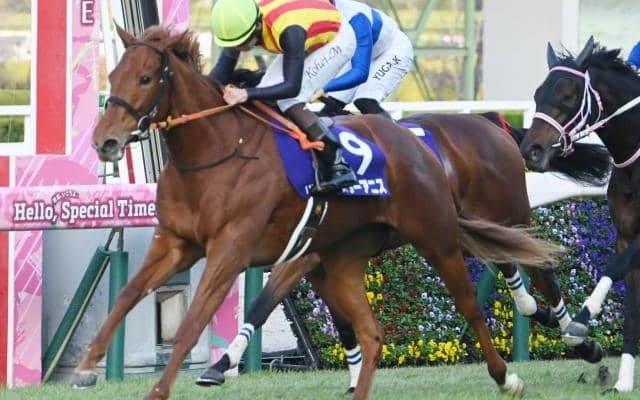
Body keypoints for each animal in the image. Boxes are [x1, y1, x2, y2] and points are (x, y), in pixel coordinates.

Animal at [77, 25, 564, 399]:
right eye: (114, 74)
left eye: (145, 78)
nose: (105, 141)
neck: (217, 149)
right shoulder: (178, 242)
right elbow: (128, 294)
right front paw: (85, 366)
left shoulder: (234, 249)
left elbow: (199, 319)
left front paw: (179, 382)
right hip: (347, 257)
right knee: (372, 331)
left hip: (441, 236)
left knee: (476, 301)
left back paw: (513, 370)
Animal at [196, 109, 605, 392]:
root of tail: (491, 123)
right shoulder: (318, 261)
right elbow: (338, 321)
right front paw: (354, 377)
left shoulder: (306, 255)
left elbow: (264, 302)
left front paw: (220, 364)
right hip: (473, 225)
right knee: (510, 266)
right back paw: (543, 315)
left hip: (508, 214)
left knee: (542, 272)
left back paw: (577, 337)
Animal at [520, 37, 640, 392]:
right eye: (537, 94)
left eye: (568, 94)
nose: (531, 151)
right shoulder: (625, 233)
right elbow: (631, 308)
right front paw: (623, 381)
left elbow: (615, 267)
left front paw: (580, 322)